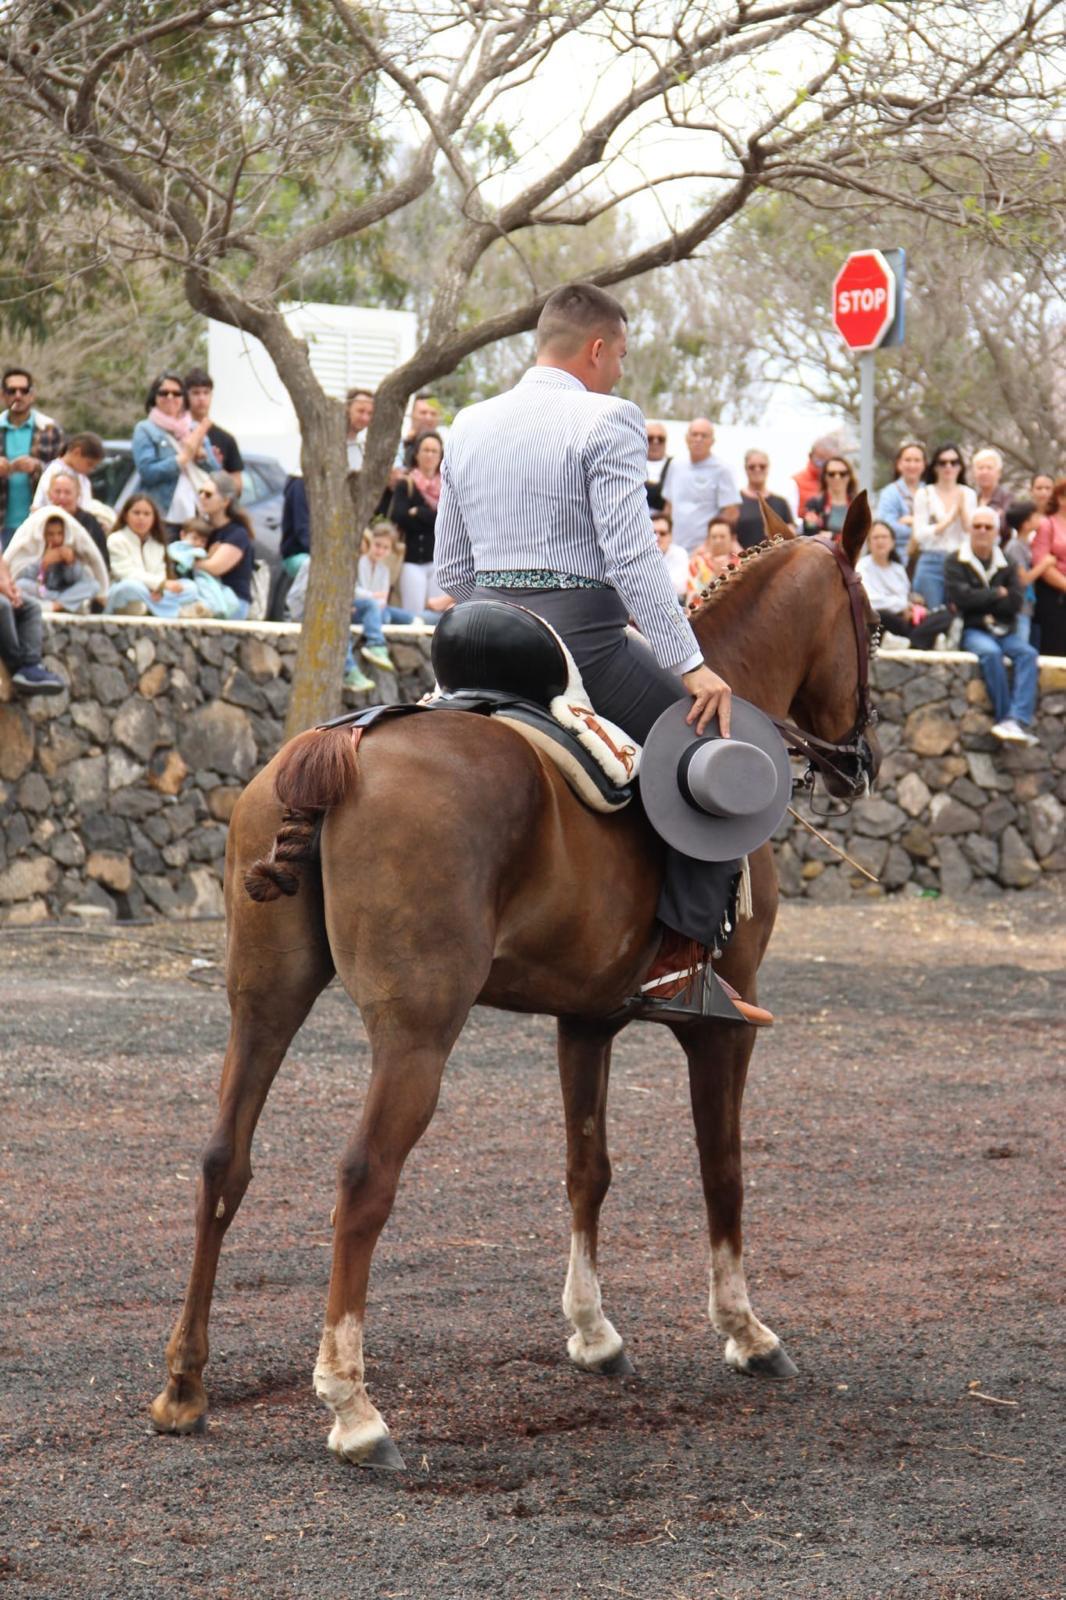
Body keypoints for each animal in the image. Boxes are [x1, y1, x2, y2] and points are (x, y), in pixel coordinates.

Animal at [150, 496, 878, 1468]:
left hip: (264, 1004)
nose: (861, 760)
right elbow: (721, 1169)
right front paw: (746, 1331)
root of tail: (344, 747)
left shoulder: (587, 1020)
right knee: (363, 1179)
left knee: (223, 1160)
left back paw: (185, 1387)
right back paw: (353, 1407)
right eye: (873, 623)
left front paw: (593, 1333)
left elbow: (586, 1168)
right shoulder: (720, 1024)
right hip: (417, 1033)